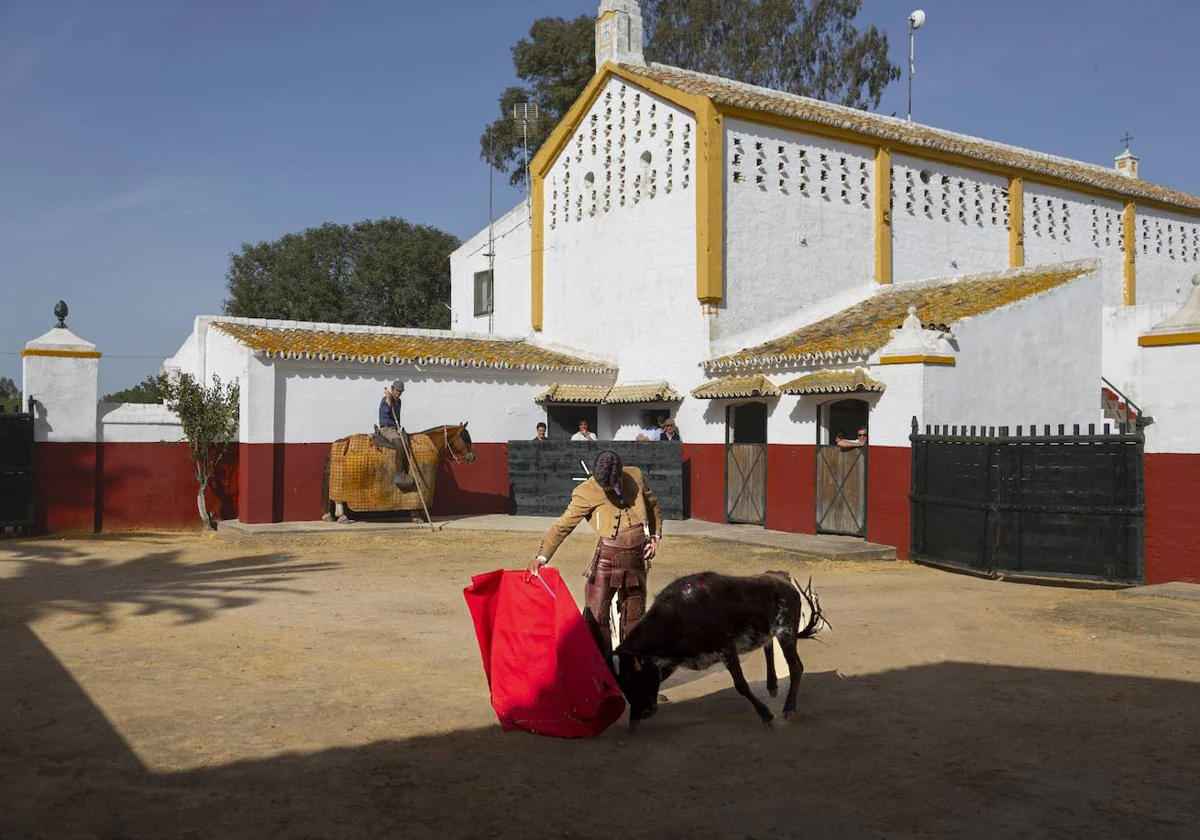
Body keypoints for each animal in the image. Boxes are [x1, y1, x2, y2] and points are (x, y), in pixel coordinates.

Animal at [321, 422, 475, 520]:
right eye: (465, 437)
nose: (472, 457)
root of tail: (343, 440)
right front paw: (417, 516)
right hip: (341, 479)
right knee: (338, 496)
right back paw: (342, 516)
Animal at [609, 571, 825, 729]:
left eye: (633, 677)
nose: (640, 714)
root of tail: (781, 577)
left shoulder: (726, 648)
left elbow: (741, 685)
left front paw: (767, 716)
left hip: (786, 631)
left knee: (796, 667)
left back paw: (789, 708)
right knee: (768, 647)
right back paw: (772, 686)